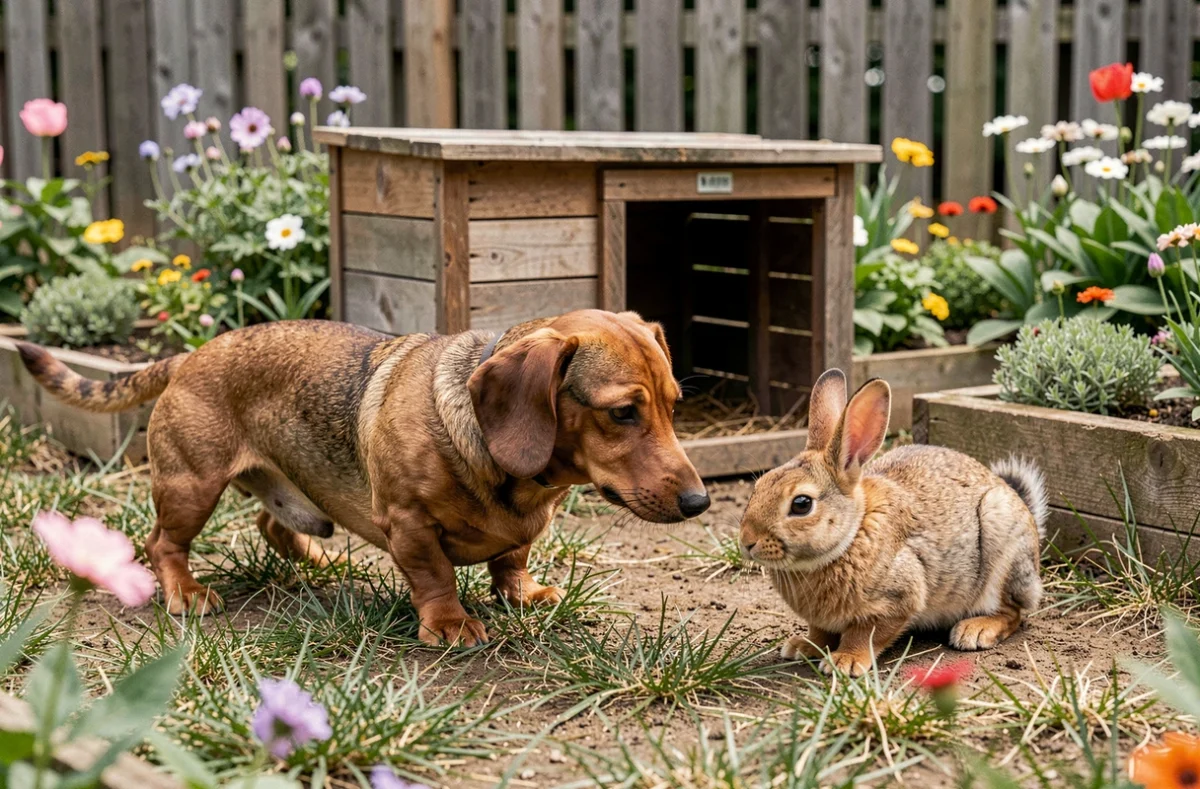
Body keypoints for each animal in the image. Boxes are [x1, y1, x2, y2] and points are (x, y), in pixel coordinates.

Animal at [738, 368, 1047, 677]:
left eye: (801, 504)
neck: (851, 535)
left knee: (1013, 611)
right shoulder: (822, 620)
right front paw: (803, 647)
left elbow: (865, 634)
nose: (746, 542)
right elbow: (820, 633)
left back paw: (975, 630)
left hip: (1002, 538)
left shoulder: (896, 599)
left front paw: (846, 661)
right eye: (758, 487)